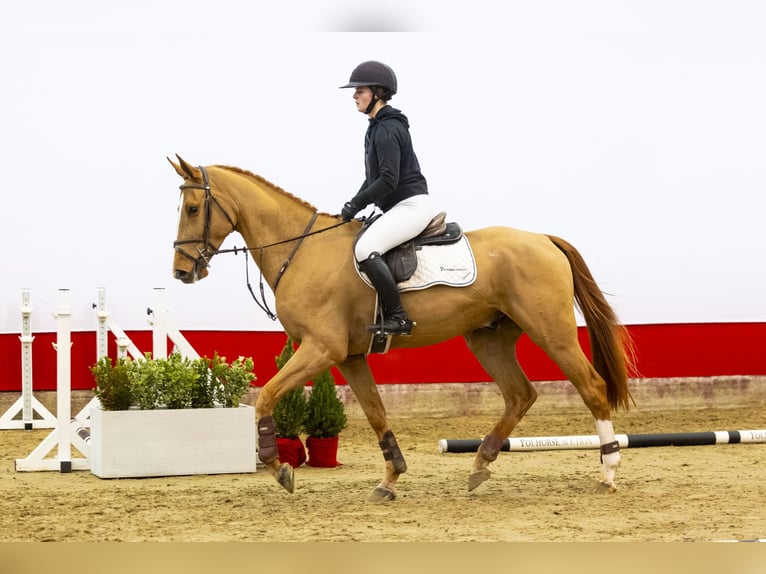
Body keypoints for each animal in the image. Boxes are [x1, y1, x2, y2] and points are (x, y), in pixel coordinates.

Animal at [168, 155, 636, 502]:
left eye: (192, 209)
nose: (181, 272)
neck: (301, 250)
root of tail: (543, 239)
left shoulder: (321, 349)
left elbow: (265, 396)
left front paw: (277, 466)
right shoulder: (350, 357)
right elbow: (377, 413)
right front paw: (390, 479)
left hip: (551, 331)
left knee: (591, 386)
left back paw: (608, 472)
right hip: (488, 337)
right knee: (521, 394)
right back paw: (480, 463)